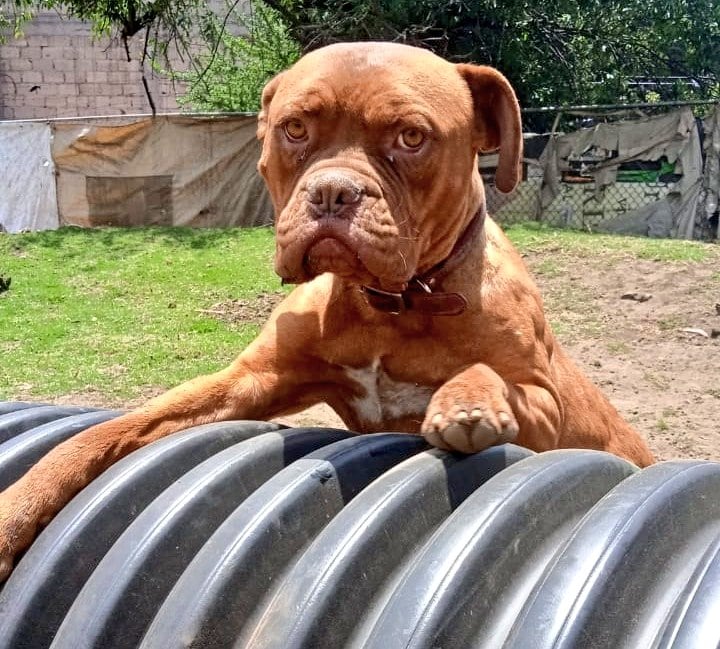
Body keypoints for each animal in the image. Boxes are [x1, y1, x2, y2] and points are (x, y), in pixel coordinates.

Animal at [0, 43, 656, 580]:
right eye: (293, 129)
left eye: (411, 137)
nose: (333, 192)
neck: (388, 304)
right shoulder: (248, 381)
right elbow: (105, 433)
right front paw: (14, 512)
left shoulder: (544, 403)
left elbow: (488, 373)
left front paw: (465, 401)